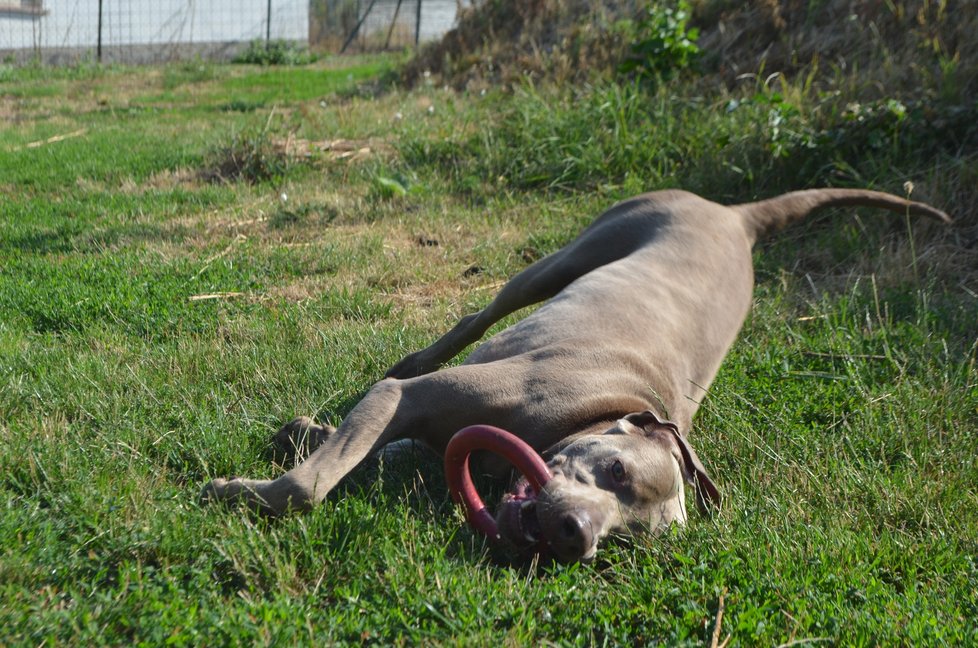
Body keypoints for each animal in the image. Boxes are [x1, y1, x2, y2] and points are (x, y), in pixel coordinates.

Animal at [202, 187, 948, 560]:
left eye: (628, 538)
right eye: (615, 472)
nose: (576, 538)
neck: (597, 410)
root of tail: (736, 216)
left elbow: (367, 449)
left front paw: (303, 434)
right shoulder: (406, 399)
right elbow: (310, 485)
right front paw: (239, 491)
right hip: (565, 258)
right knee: (473, 317)